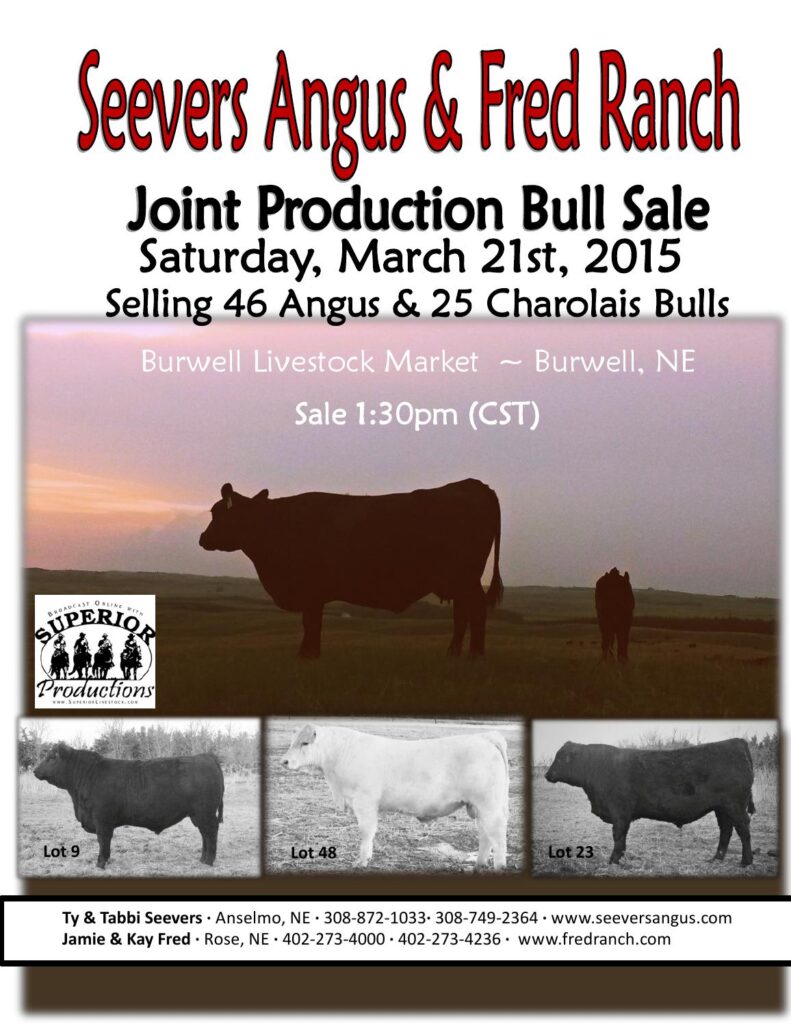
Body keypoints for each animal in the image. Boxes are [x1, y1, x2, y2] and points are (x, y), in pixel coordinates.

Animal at [33, 743, 224, 869]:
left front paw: (100, 863)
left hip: (205, 813)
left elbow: (103, 840)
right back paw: (202, 859)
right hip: (197, 815)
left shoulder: (102, 820)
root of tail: (206, 756)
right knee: (204, 834)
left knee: (211, 832)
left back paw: (209, 861)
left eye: (52, 758)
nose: (35, 771)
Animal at [199, 479, 503, 658]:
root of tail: (473, 484)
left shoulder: (311, 591)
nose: (202, 538)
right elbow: (314, 624)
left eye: (216, 512)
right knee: (462, 613)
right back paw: (453, 653)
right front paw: (311, 653)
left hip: (465, 578)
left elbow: (311, 623)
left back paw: (475, 655)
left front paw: (306, 654)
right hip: (460, 581)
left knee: (474, 611)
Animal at [281, 724, 509, 870]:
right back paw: (479, 864)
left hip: (489, 805)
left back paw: (498, 866)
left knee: (497, 835)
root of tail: (484, 737)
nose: (284, 761)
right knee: (485, 835)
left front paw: (361, 862)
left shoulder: (364, 801)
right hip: (479, 806)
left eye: (304, 743)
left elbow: (366, 832)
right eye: (292, 741)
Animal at [544, 738, 755, 867]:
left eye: (560, 758)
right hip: (722, 808)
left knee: (743, 829)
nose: (547, 774)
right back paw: (716, 858)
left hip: (734, 805)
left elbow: (618, 835)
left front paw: (613, 860)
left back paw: (746, 861)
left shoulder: (619, 811)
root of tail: (736, 742)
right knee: (726, 830)